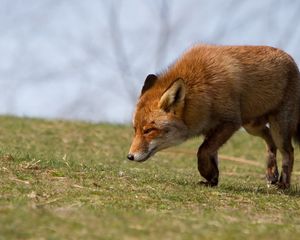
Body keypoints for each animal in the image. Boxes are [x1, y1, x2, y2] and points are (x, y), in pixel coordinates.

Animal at [126, 44, 300, 188]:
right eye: (135, 130)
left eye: (148, 130)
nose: (130, 156)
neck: (203, 88)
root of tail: (290, 58)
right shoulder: (209, 128)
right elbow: (211, 154)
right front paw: (212, 179)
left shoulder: (230, 122)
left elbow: (202, 151)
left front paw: (207, 173)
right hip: (252, 126)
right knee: (269, 139)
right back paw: (271, 172)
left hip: (278, 128)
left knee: (289, 152)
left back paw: (284, 184)